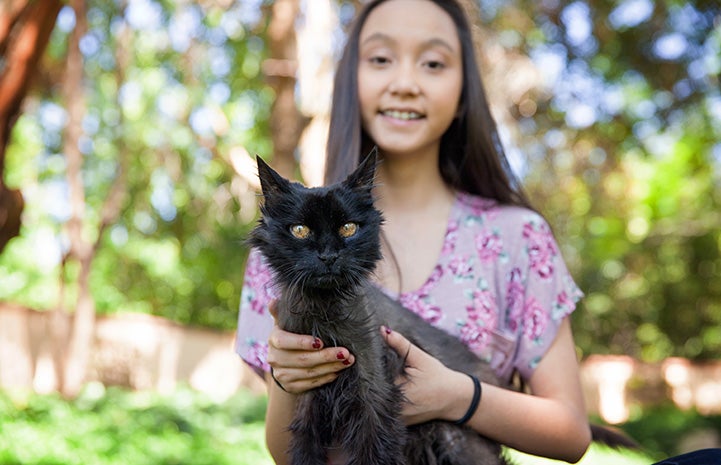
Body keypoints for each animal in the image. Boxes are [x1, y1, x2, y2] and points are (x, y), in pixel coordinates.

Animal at [248, 150, 506, 464]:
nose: (329, 256)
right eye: (300, 230)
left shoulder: (374, 389)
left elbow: (374, 449)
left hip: (459, 443)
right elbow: (305, 449)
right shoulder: (309, 398)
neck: (324, 308)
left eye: (348, 228)